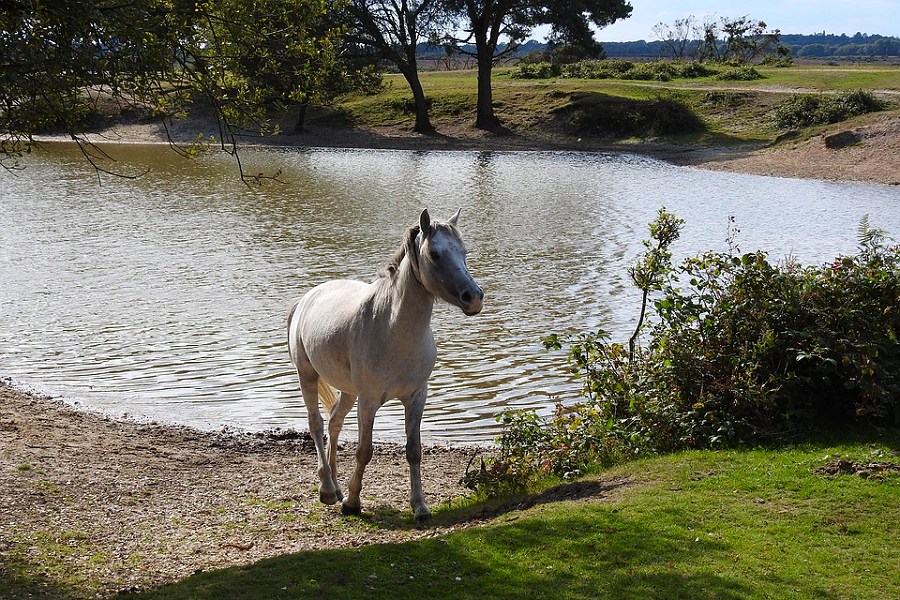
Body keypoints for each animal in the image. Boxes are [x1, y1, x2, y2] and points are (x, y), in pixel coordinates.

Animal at [288, 207, 486, 520]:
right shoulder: (368, 401)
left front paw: (420, 507)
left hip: (349, 392)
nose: (474, 297)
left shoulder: (416, 396)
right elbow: (364, 451)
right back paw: (329, 490)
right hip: (307, 375)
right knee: (316, 424)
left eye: (463, 251)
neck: (392, 329)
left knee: (334, 422)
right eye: (434, 254)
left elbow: (414, 450)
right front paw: (352, 503)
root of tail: (307, 298)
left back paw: (336, 483)